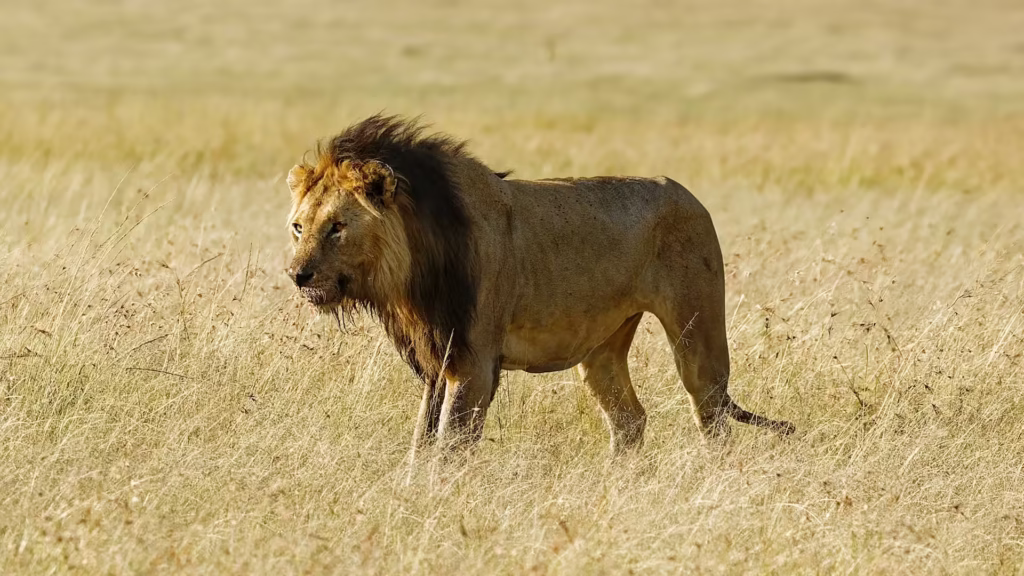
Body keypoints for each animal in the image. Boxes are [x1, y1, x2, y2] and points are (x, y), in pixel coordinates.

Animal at [285, 114, 794, 453]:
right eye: (298, 227)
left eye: (337, 227)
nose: (297, 275)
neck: (410, 272)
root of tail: (690, 195)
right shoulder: (436, 358)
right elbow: (422, 442)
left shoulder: (473, 362)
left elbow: (449, 446)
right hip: (603, 349)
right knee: (629, 420)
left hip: (696, 331)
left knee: (710, 411)